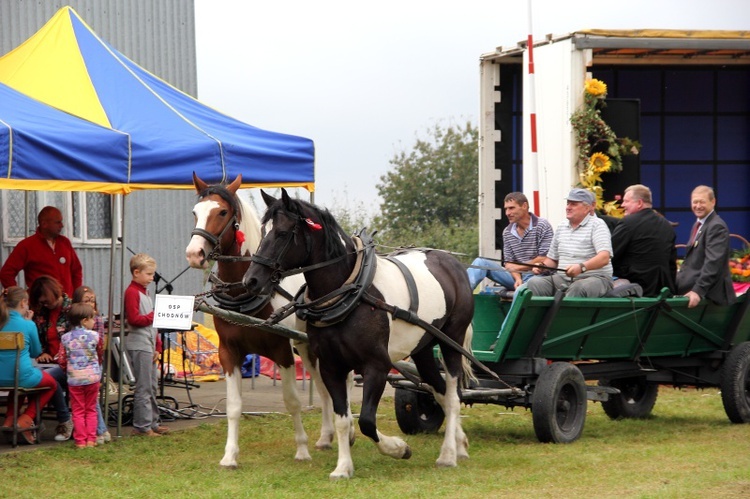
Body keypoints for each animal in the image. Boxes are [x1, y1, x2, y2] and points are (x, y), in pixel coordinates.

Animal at [244, 189, 472, 478]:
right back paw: (460, 444)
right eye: (263, 232)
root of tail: (453, 263)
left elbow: (366, 420)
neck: (350, 290)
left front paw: (398, 448)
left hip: (451, 341)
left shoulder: (377, 366)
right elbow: (343, 419)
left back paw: (448, 455)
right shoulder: (331, 366)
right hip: (422, 348)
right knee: (440, 391)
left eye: (283, 233)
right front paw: (343, 467)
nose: (250, 280)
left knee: (453, 396)